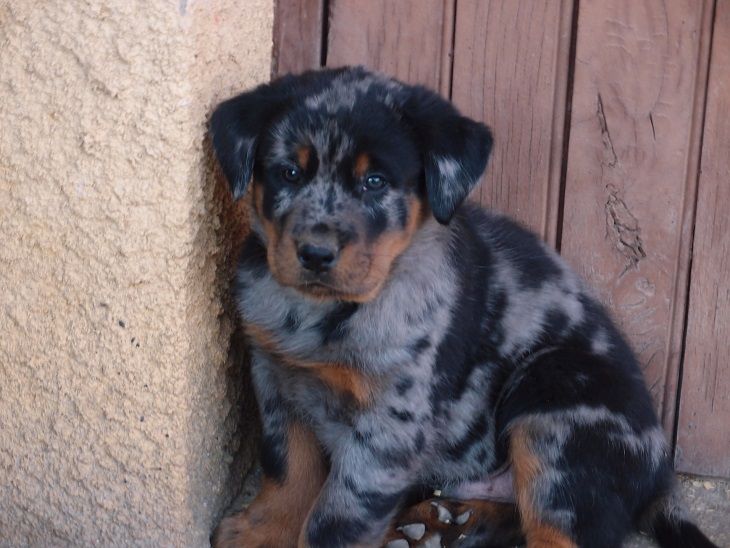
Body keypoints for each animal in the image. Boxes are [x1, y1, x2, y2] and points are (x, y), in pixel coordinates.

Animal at [209, 67, 716, 548]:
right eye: (289, 173)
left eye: (374, 182)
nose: (315, 254)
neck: (325, 313)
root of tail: (661, 478)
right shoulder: (274, 377)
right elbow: (286, 466)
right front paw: (258, 531)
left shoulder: (391, 422)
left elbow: (335, 518)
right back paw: (439, 525)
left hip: (553, 405)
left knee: (562, 531)